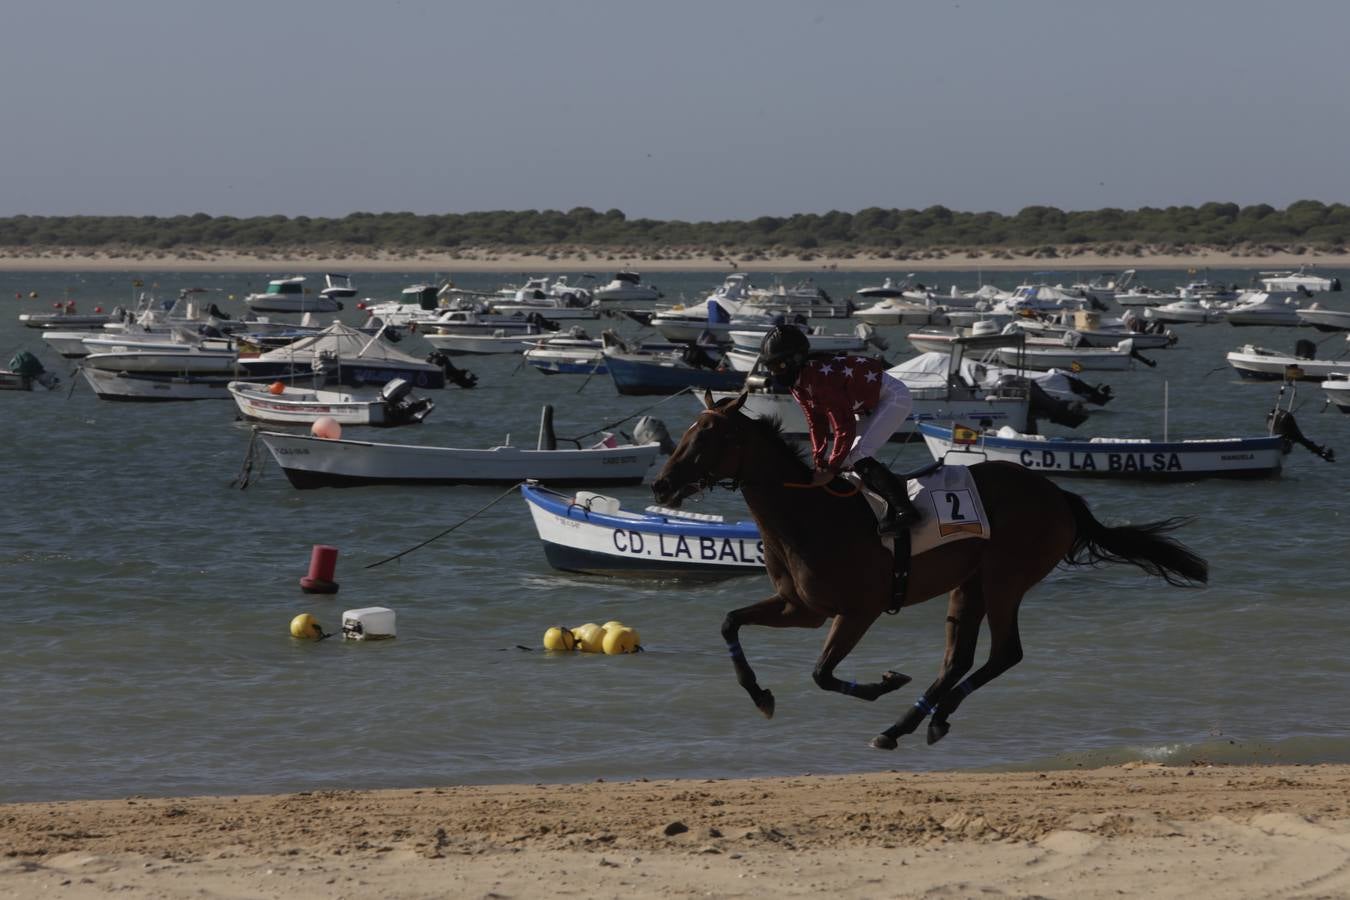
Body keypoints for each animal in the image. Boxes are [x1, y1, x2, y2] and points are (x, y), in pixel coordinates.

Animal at [648, 391, 1209, 750]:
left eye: (708, 434)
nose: (660, 485)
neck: (809, 514)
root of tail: (1059, 496)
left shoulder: (858, 610)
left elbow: (822, 673)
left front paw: (885, 682)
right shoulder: (800, 607)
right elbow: (730, 622)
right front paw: (761, 695)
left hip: (1006, 579)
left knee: (1004, 653)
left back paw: (919, 720)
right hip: (970, 585)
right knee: (958, 660)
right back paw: (911, 724)